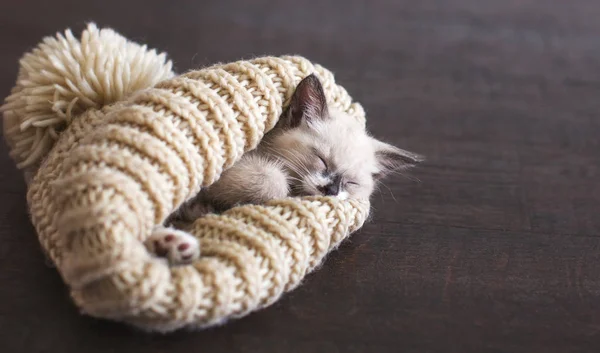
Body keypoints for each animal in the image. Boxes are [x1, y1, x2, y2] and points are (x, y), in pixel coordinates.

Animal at [146, 73, 422, 262]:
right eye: (321, 160)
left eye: (351, 183)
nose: (331, 190)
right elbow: (273, 181)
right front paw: (204, 207)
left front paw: (201, 209)